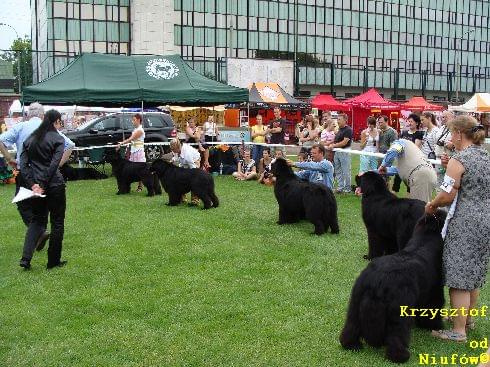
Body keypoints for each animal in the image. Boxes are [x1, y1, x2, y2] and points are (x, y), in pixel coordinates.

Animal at [340, 211, 448, 364]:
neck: (426, 239)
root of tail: (377, 281)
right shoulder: (434, 294)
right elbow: (433, 310)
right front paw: (435, 326)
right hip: (398, 312)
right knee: (396, 334)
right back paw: (400, 356)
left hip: (355, 301)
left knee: (351, 325)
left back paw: (351, 345)